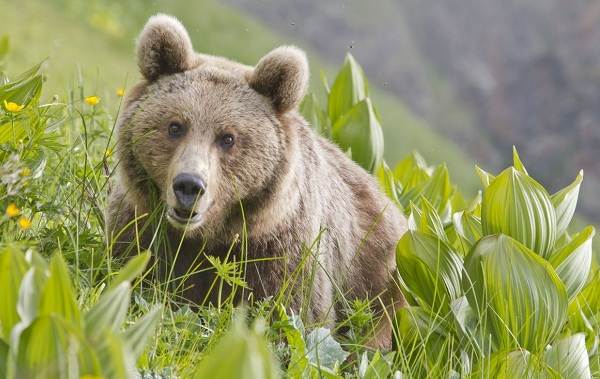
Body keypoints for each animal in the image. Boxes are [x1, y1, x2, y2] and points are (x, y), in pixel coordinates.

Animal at [108, 14, 408, 348]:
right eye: (175, 126)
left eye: (228, 137)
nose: (189, 186)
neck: (210, 237)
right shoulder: (141, 227)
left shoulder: (282, 256)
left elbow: (295, 316)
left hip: (382, 284)